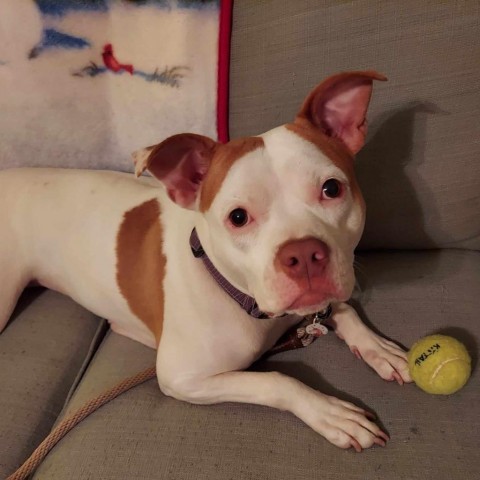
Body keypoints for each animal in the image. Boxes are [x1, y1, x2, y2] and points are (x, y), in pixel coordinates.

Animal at [0, 70, 412, 450]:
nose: (303, 254)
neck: (240, 296)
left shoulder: (314, 304)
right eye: (238, 217)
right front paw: (330, 412)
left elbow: (343, 309)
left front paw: (377, 348)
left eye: (331, 188)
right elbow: (277, 380)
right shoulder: (182, 378)